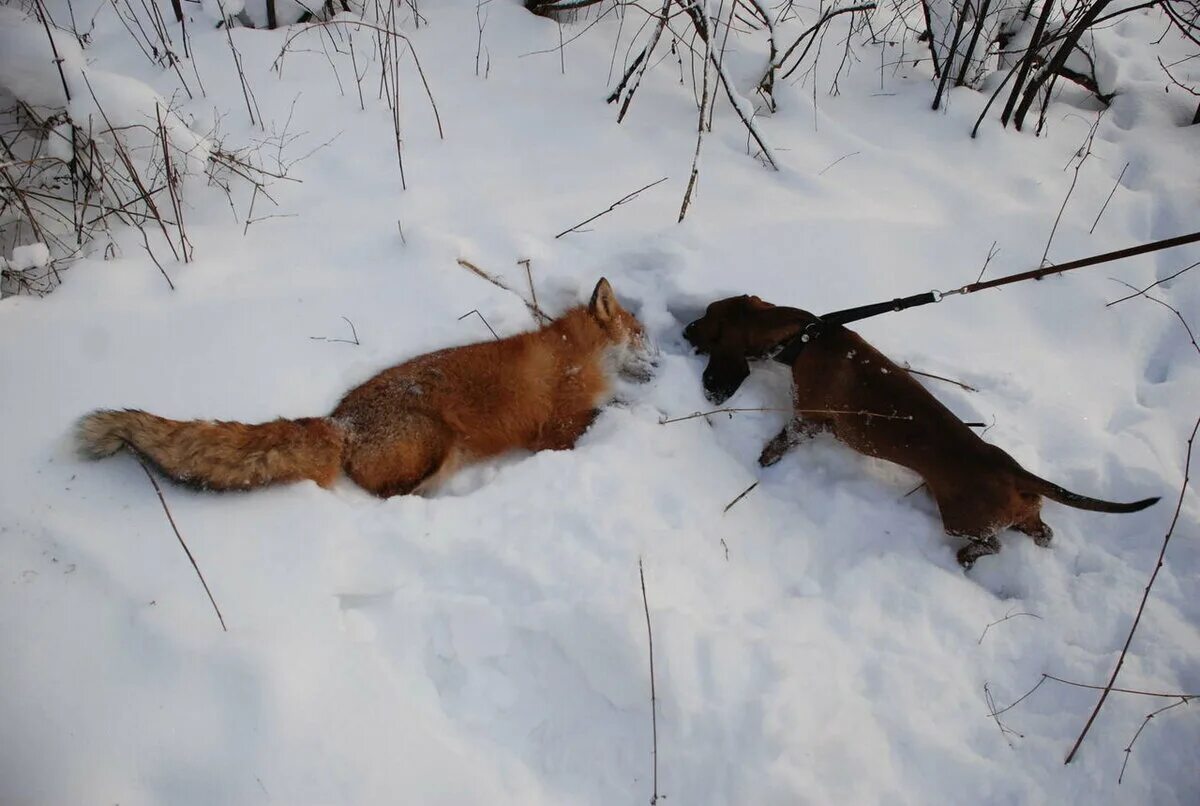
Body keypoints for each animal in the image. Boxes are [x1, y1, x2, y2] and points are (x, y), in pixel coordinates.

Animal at [78, 278, 652, 496]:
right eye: (642, 333)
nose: (662, 357)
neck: (575, 355)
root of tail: (341, 422)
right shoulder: (556, 430)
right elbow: (602, 415)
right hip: (435, 447)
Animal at [686, 296, 1161, 566]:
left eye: (707, 316)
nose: (686, 327)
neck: (806, 337)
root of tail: (1015, 472)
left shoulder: (809, 418)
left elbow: (784, 441)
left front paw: (764, 460)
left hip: (961, 520)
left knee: (992, 545)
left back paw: (968, 557)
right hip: (1021, 514)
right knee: (1040, 532)